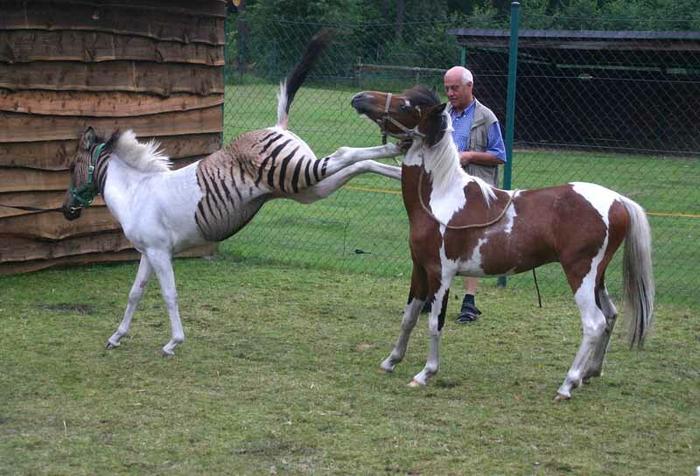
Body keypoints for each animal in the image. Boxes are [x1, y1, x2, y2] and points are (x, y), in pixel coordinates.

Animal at [63, 33, 402, 356]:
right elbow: (136, 293)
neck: (136, 194)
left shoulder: (160, 252)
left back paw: (400, 145)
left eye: (70, 167)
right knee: (358, 164)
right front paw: (116, 337)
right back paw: (399, 167)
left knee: (346, 153)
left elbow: (170, 295)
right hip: (307, 187)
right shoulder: (149, 252)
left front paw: (174, 342)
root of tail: (277, 126)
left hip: (299, 173)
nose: (66, 211)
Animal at [352, 87, 652, 400]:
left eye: (405, 105)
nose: (360, 97)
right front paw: (391, 361)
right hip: (597, 278)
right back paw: (589, 373)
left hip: (580, 273)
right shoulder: (420, 269)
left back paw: (567, 385)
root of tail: (618, 201)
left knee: (594, 323)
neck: (441, 197)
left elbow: (435, 323)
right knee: (611, 315)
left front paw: (425, 373)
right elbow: (409, 317)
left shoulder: (441, 274)